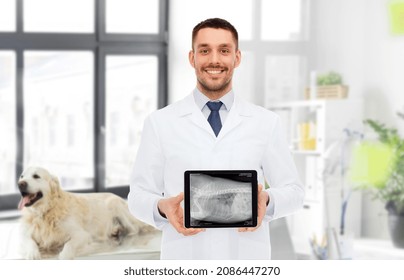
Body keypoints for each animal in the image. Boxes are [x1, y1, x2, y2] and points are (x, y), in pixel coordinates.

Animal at [17, 166, 159, 260]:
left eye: (36, 176)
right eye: (22, 176)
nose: (20, 184)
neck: (45, 212)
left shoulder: (81, 235)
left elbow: (68, 245)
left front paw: (64, 254)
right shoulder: (25, 234)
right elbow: (29, 241)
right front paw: (32, 253)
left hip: (115, 205)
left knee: (134, 230)